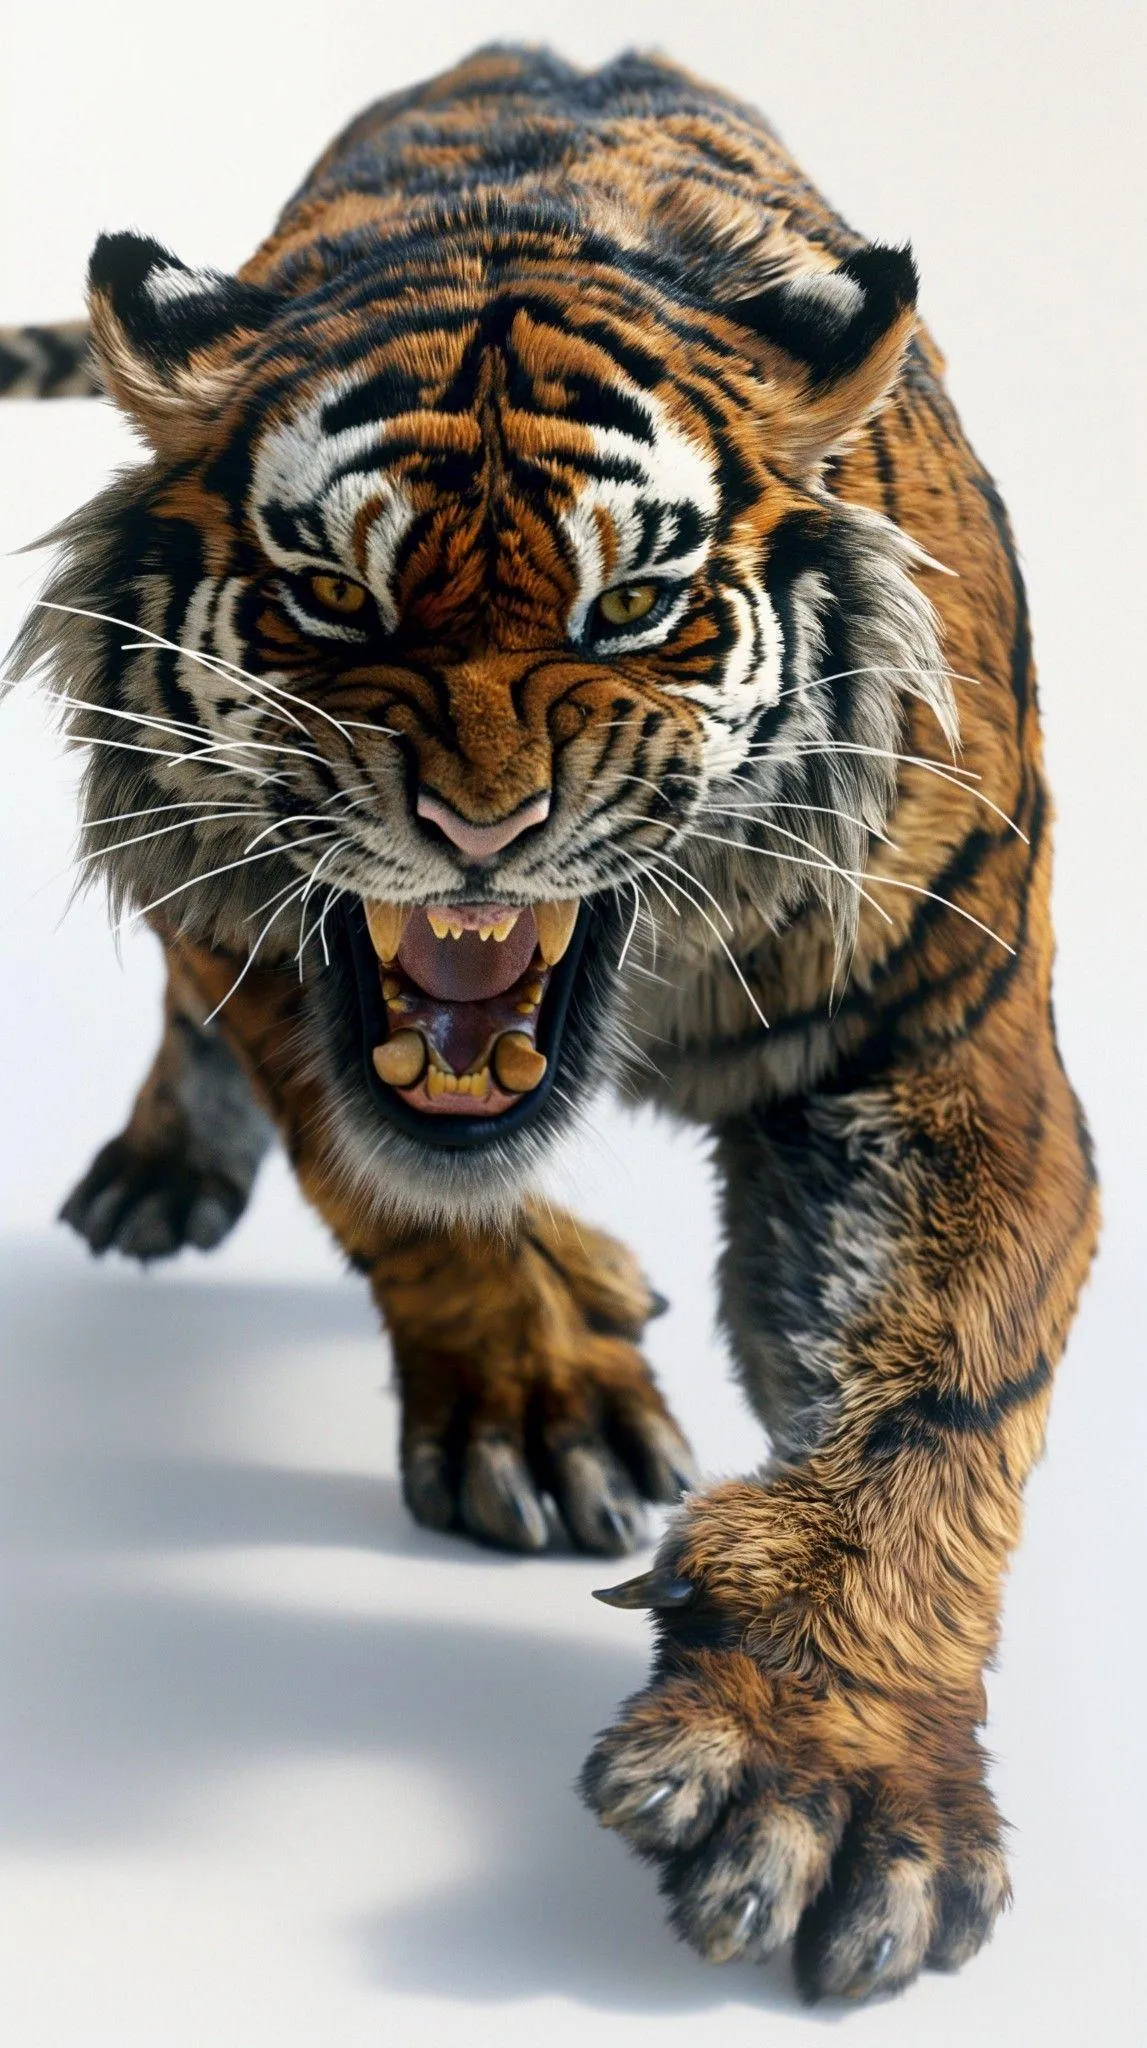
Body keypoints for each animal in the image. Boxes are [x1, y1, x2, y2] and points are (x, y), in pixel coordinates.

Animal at [3, 45, 1098, 2005]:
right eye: (331, 596)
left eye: (633, 608)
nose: (478, 828)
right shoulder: (255, 942)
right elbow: (409, 1204)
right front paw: (539, 1410)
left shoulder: (945, 1038)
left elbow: (942, 1388)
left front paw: (828, 1780)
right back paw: (167, 1175)